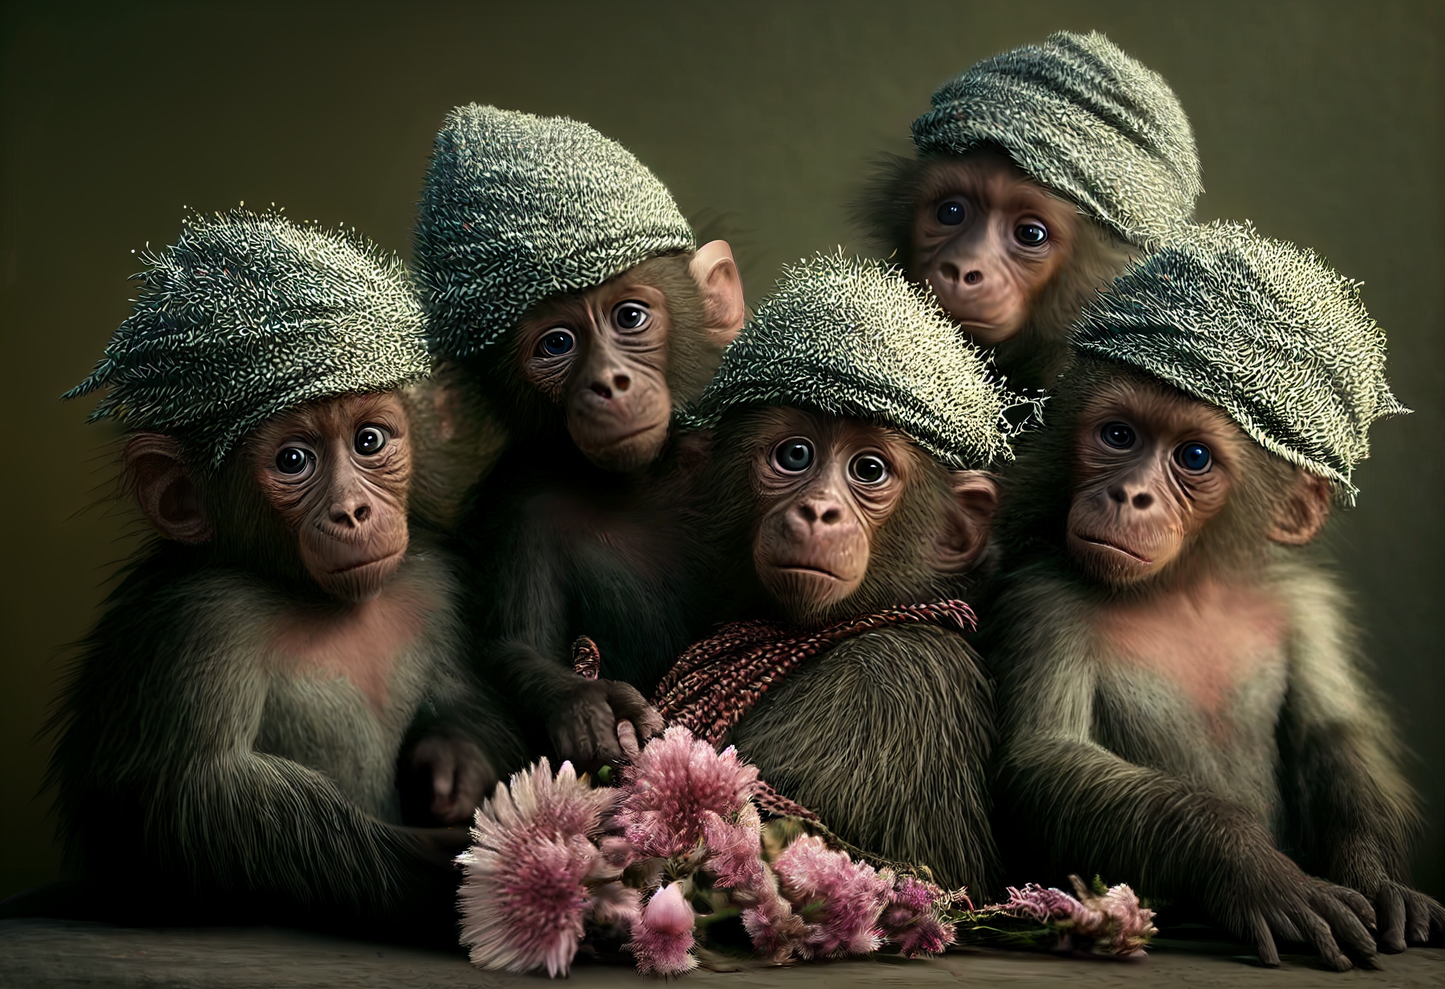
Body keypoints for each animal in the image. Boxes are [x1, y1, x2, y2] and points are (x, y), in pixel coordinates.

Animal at [43, 210, 525, 940]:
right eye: (294, 459)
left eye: (369, 441)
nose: (352, 510)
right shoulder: (201, 618)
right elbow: (198, 795)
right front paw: (440, 874)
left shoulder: (435, 582)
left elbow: (467, 700)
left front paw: (452, 767)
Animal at [413, 105, 746, 769]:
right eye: (557, 345)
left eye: (630, 317)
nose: (608, 383)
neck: (644, 480)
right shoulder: (517, 507)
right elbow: (513, 647)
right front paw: (583, 701)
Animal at [979, 223, 1444, 970]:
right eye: (1119, 435)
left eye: (1192, 458)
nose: (1130, 493)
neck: (1187, 588)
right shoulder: (1043, 600)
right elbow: (1043, 756)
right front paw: (1252, 869)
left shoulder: (1306, 602)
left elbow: (1331, 730)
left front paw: (1376, 877)